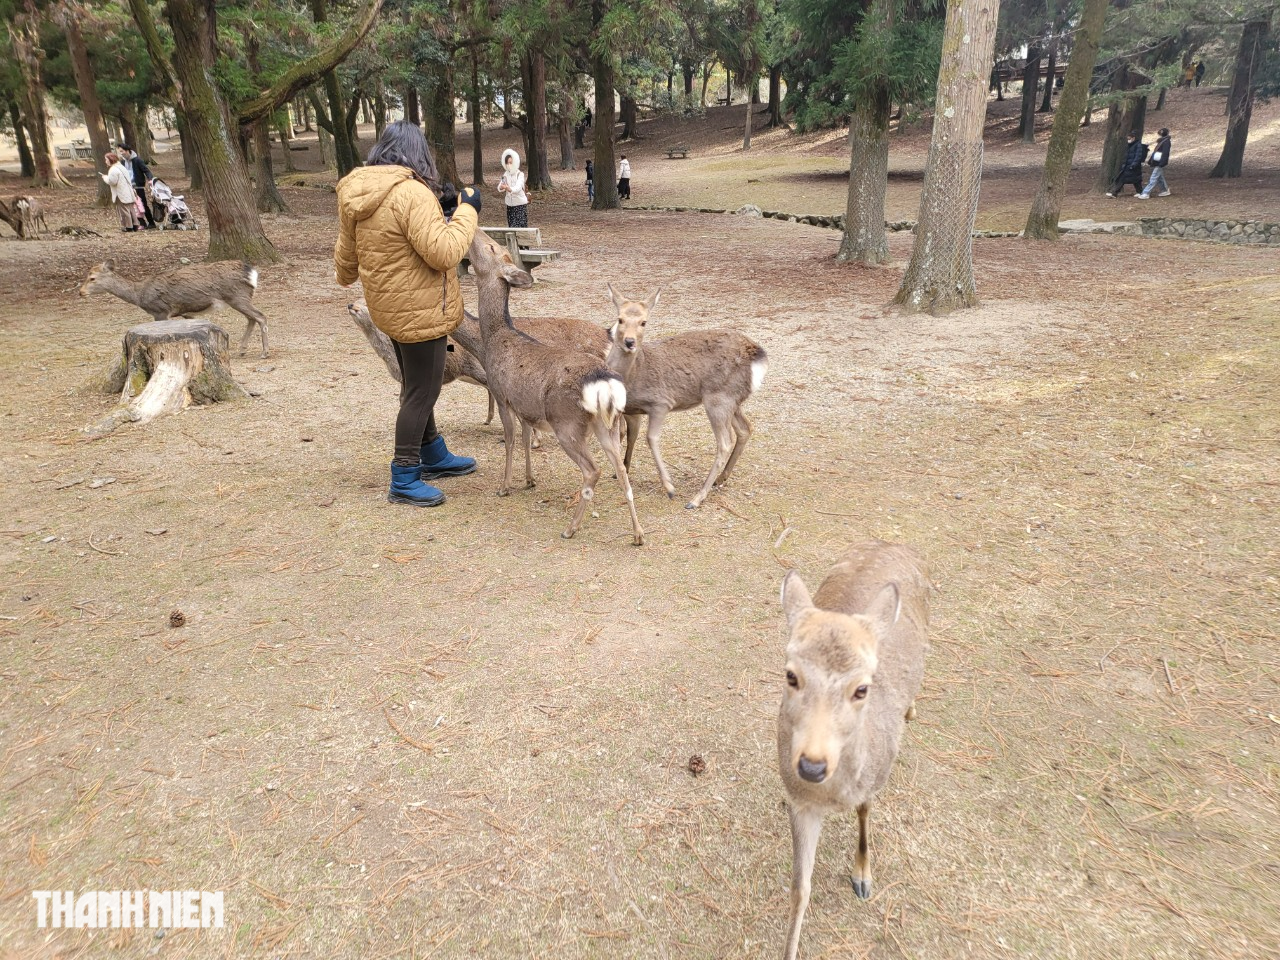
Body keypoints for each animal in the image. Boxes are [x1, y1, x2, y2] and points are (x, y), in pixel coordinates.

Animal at [80, 257, 270, 358]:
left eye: (92, 278)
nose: (81, 292)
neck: (140, 295)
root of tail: (252, 273)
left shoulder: (160, 311)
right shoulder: (187, 314)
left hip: (237, 296)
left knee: (260, 316)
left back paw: (264, 352)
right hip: (240, 298)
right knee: (251, 318)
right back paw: (242, 350)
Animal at [460, 232, 645, 545]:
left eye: (491, 248)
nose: (474, 234)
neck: (495, 339)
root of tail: (605, 383)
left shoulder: (501, 394)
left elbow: (510, 440)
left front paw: (504, 486)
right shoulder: (525, 406)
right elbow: (525, 439)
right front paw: (529, 480)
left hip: (567, 423)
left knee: (592, 470)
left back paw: (570, 528)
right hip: (605, 425)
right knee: (620, 469)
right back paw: (638, 534)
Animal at [604, 284, 762, 512]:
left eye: (644, 322)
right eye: (620, 319)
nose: (630, 342)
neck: (632, 376)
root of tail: (757, 354)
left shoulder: (661, 402)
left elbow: (651, 438)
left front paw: (669, 487)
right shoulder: (630, 410)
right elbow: (630, 437)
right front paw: (621, 472)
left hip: (717, 399)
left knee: (724, 442)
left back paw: (697, 498)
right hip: (732, 399)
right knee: (745, 428)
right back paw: (721, 479)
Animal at [773, 542, 936, 960]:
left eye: (862, 688)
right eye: (791, 675)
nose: (812, 766)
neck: (832, 795)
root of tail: (894, 544)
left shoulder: (876, 775)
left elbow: (864, 813)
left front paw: (862, 876)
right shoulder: (799, 801)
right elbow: (799, 888)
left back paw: (912, 708)